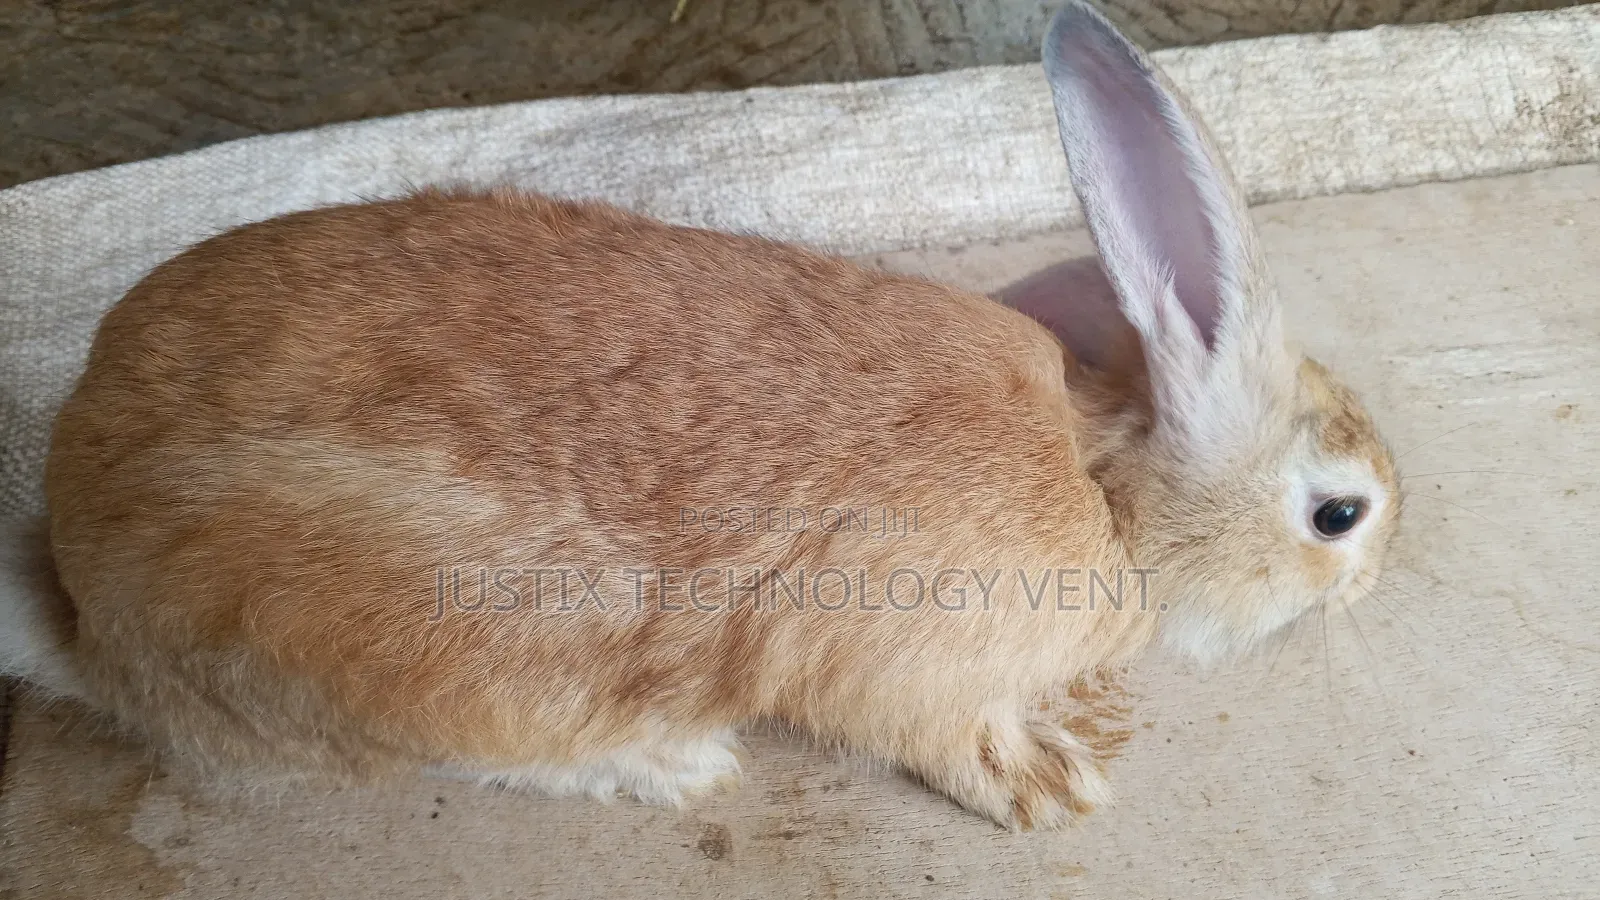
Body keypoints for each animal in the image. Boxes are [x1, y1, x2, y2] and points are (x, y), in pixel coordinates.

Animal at [2, 1, 1399, 831]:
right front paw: (1051, 785)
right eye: (1338, 515)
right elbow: (950, 739)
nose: (1373, 581)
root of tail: (85, 606)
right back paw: (673, 764)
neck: (1105, 485)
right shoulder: (913, 672)